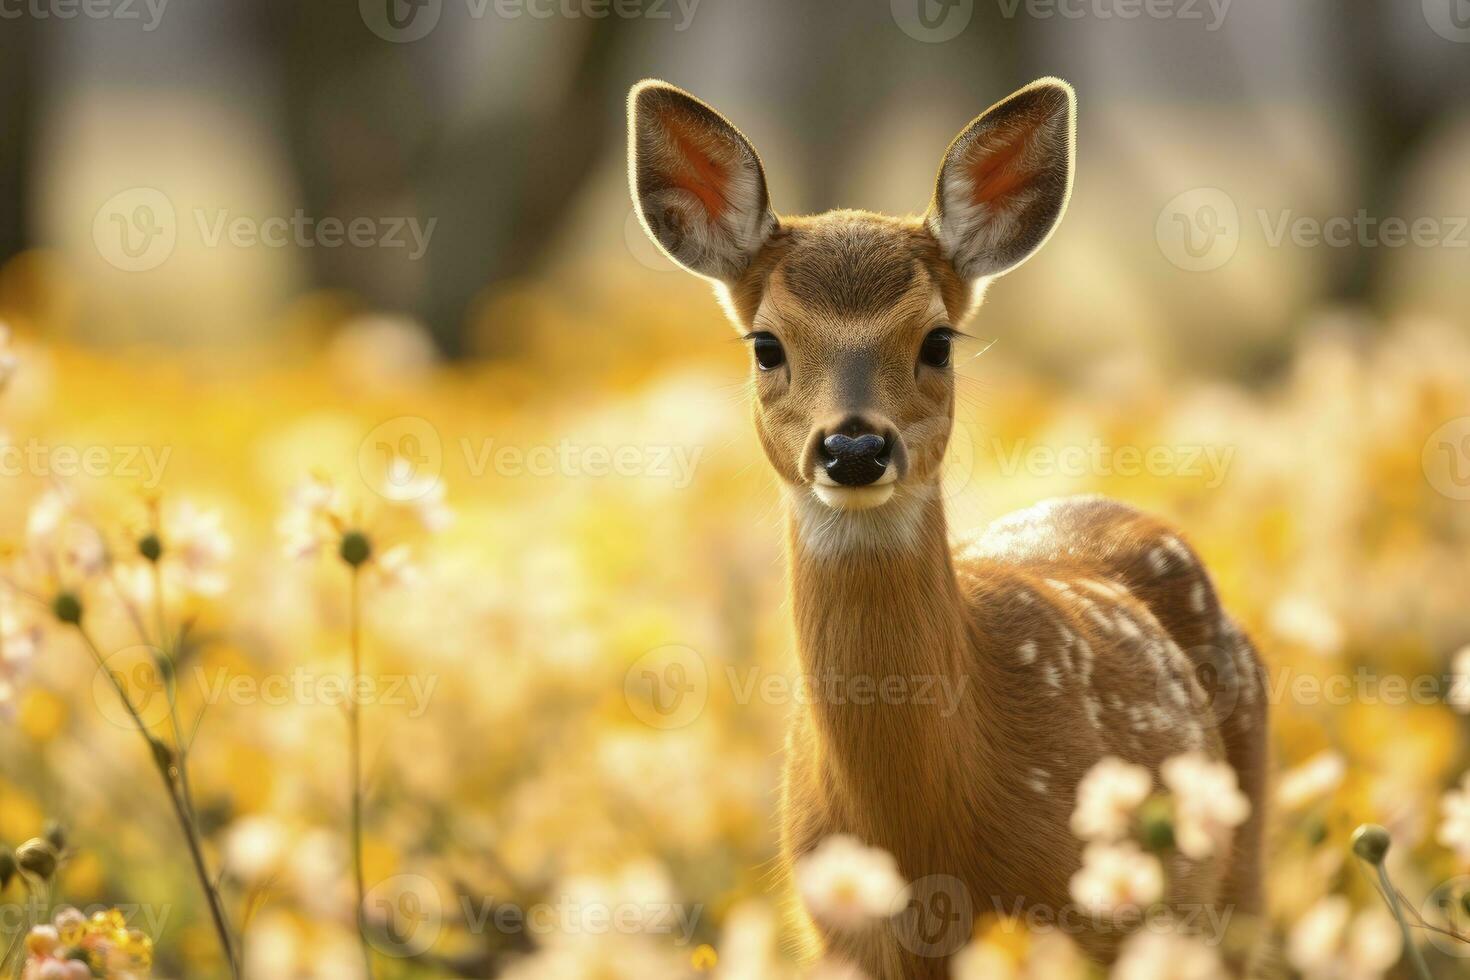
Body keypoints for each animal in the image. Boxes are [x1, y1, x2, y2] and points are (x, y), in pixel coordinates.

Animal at [626, 78, 1270, 980]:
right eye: (766, 345)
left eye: (937, 341)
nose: (854, 448)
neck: (924, 836)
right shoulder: (838, 941)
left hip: (1236, 877)